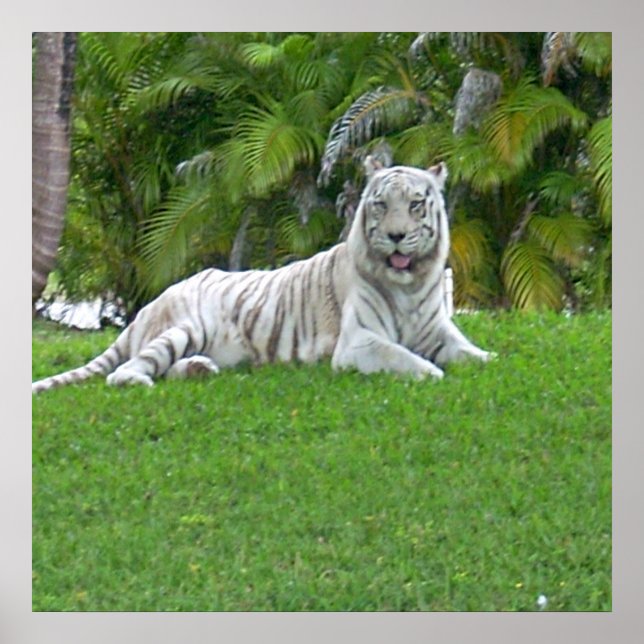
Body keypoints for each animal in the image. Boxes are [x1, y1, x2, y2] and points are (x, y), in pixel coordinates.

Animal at [32, 159, 493, 394]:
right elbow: (403, 358)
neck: (409, 284)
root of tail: (148, 305)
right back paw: (144, 379)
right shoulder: (359, 342)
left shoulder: (439, 331)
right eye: (381, 204)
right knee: (126, 372)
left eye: (415, 204)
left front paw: (487, 360)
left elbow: (473, 354)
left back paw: (199, 370)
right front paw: (431, 373)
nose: (397, 236)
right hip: (183, 326)